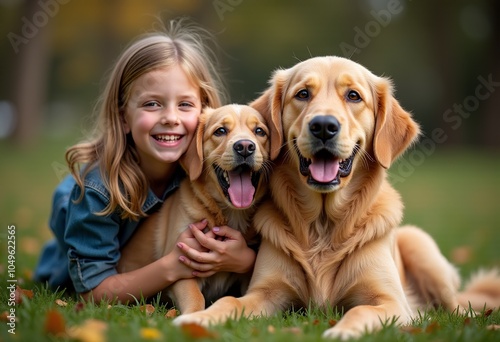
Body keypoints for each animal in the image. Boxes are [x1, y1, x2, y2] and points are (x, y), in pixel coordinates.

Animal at [117, 105, 274, 316]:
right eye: (220, 131)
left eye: (259, 131)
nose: (245, 147)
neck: (230, 215)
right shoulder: (182, 271)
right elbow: (196, 298)